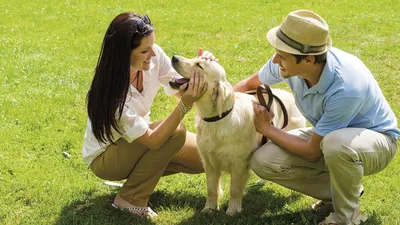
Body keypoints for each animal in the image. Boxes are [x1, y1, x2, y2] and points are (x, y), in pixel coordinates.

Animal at [170, 53, 306, 215]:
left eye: (199, 65)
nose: (174, 57)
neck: (217, 119)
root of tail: (288, 94)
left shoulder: (239, 163)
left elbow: (234, 189)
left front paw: (233, 210)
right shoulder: (209, 161)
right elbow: (211, 189)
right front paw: (209, 208)